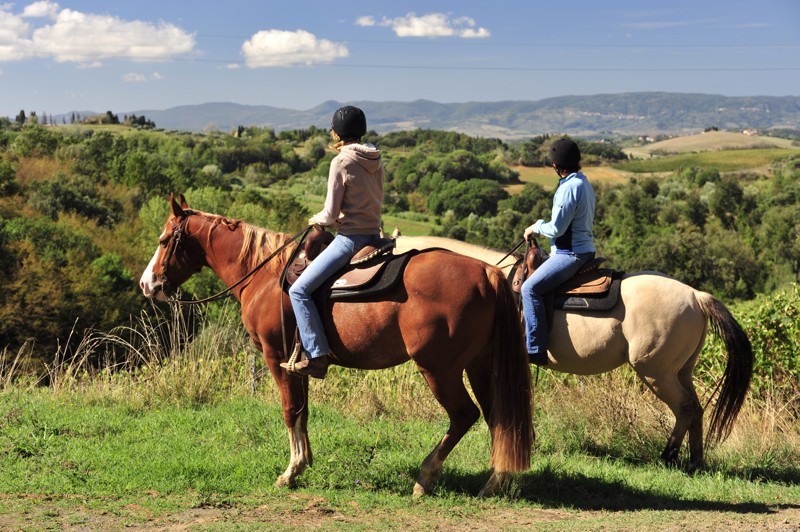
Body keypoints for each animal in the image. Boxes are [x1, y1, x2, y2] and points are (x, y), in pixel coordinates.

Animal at [141, 196, 536, 498]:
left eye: (164, 240)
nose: (148, 284)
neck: (264, 275)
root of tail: (487, 273)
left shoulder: (275, 356)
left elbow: (290, 411)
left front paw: (290, 471)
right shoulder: (297, 363)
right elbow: (303, 411)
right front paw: (305, 461)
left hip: (439, 368)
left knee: (464, 415)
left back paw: (425, 478)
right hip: (479, 364)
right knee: (498, 417)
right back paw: (495, 482)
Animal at [396, 235, 752, 472]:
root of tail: (696, 295)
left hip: (657, 372)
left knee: (685, 408)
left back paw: (669, 456)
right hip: (681, 370)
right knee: (696, 408)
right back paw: (695, 460)